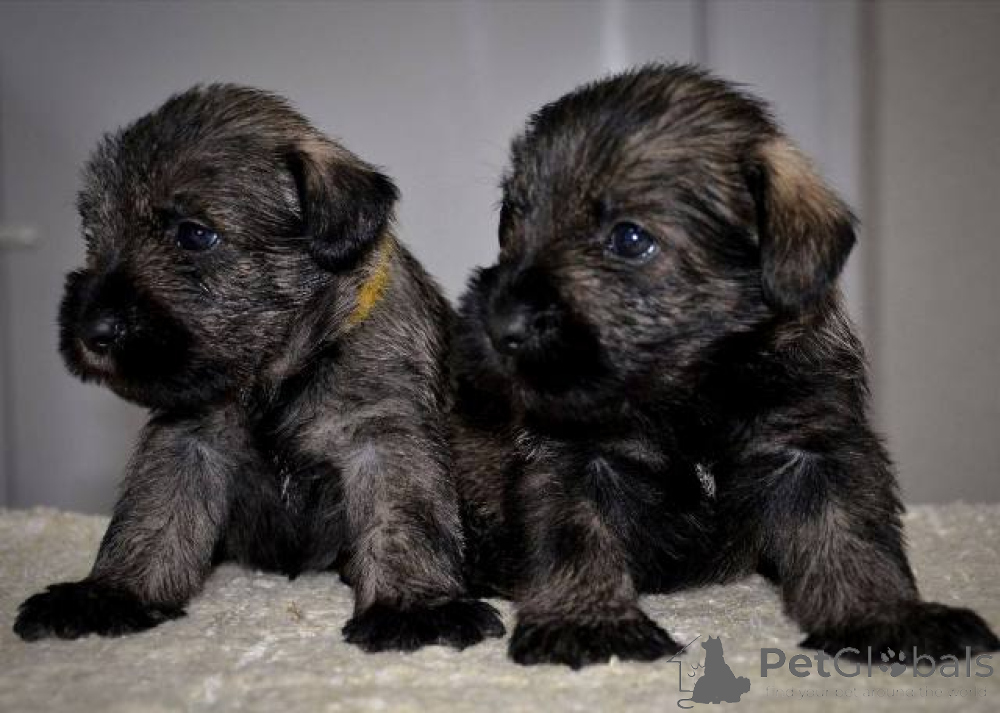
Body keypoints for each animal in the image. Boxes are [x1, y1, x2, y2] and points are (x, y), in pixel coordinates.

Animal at [13, 84, 503, 652]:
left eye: (194, 235)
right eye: (92, 232)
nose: (92, 331)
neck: (279, 374)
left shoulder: (384, 434)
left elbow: (402, 516)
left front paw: (415, 607)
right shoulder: (187, 439)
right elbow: (151, 518)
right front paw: (111, 593)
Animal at [452, 64, 999, 668]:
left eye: (630, 238)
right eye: (513, 219)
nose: (499, 322)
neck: (697, 386)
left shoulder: (814, 448)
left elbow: (851, 535)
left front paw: (885, 616)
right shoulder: (575, 460)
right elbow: (575, 538)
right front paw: (588, 620)